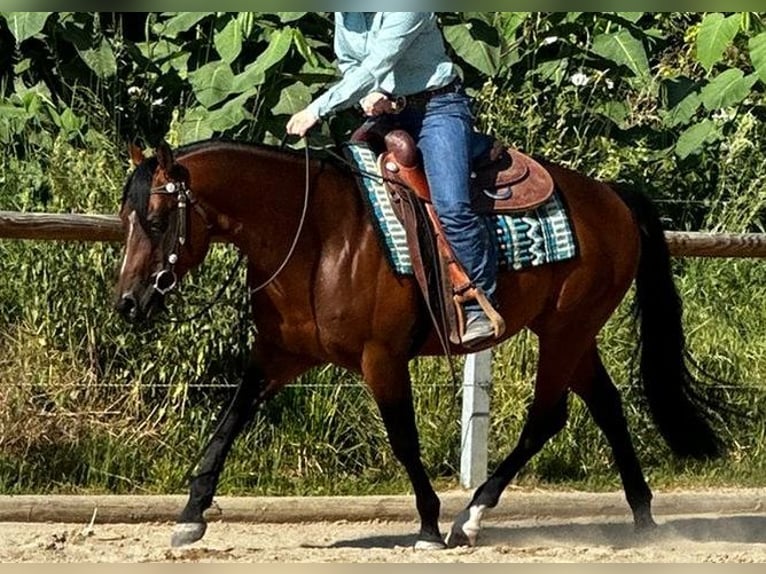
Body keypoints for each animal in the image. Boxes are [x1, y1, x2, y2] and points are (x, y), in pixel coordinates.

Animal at [115, 137, 732, 552]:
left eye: (156, 220)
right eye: (125, 218)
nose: (127, 303)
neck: (317, 236)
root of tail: (612, 197)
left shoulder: (381, 358)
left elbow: (403, 440)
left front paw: (430, 525)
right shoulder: (277, 355)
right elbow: (230, 420)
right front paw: (191, 513)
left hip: (566, 330)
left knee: (547, 418)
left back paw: (471, 518)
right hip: (572, 335)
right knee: (606, 406)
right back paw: (643, 517)